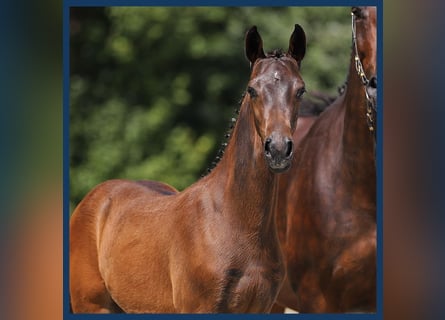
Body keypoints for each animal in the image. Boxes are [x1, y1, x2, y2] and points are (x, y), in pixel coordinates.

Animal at [70, 24, 306, 312]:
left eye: (300, 90)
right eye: (252, 90)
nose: (279, 150)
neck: (235, 222)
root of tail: (94, 198)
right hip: (92, 305)